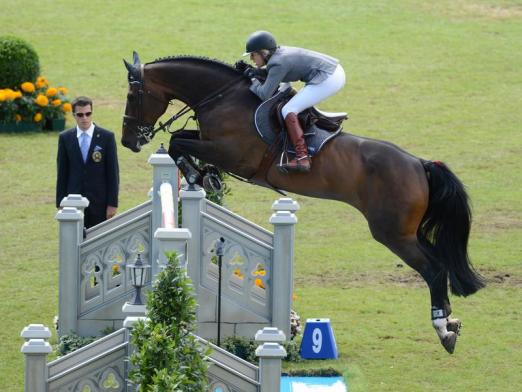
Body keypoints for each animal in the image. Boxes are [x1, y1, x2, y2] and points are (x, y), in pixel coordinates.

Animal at [121, 50, 484, 354]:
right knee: (440, 264)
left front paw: (200, 176)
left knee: (434, 270)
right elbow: (180, 139)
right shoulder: (212, 143)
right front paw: (205, 176)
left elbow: (177, 141)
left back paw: (443, 329)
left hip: (393, 233)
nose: (128, 142)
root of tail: (419, 164)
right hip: (410, 231)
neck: (222, 97)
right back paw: (451, 321)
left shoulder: (231, 153)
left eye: (132, 96)